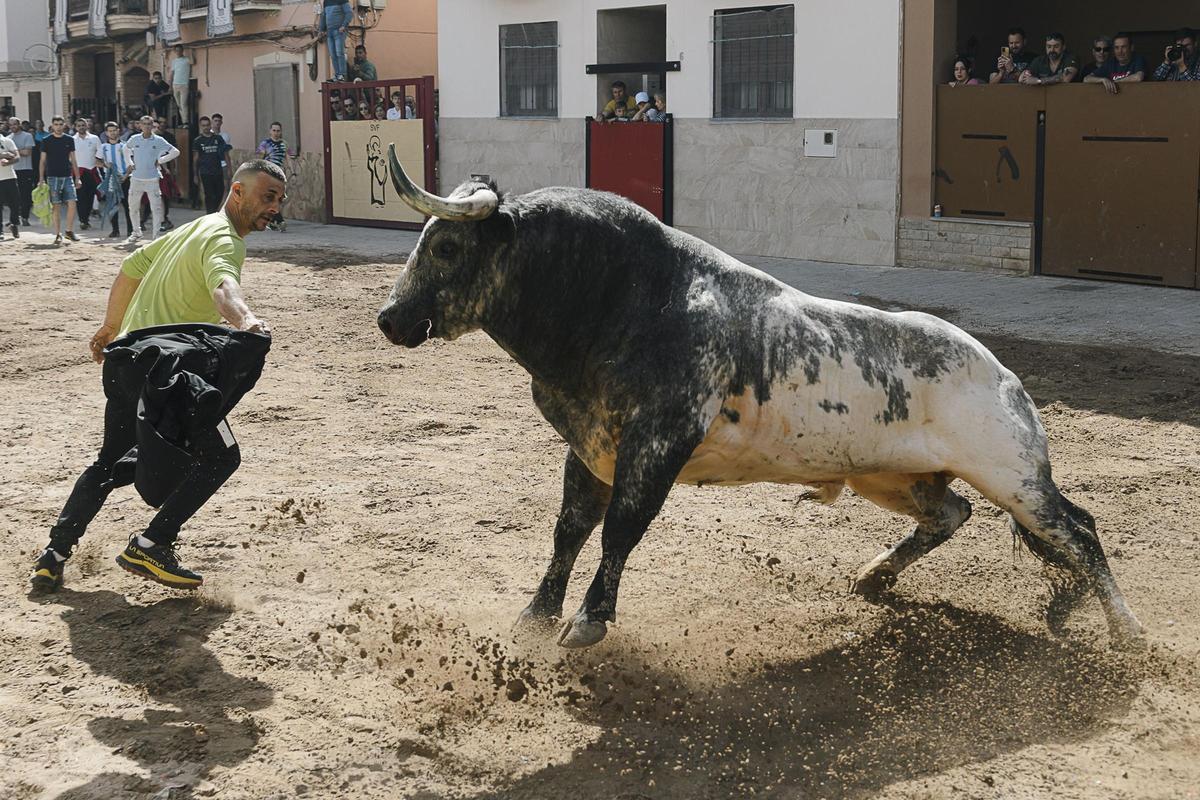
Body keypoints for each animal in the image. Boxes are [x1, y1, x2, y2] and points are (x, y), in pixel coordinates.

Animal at [374, 148, 1142, 652]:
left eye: (445, 247)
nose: (389, 318)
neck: (616, 298)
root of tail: (1002, 373)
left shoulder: (657, 444)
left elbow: (621, 530)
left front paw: (587, 621)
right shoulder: (590, 447)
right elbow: (570, 529)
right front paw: (535, 616)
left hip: (1013, 475)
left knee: (1078, 530)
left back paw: (1129, 632)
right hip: (893, 476)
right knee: (952, 514)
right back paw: (873, 576)